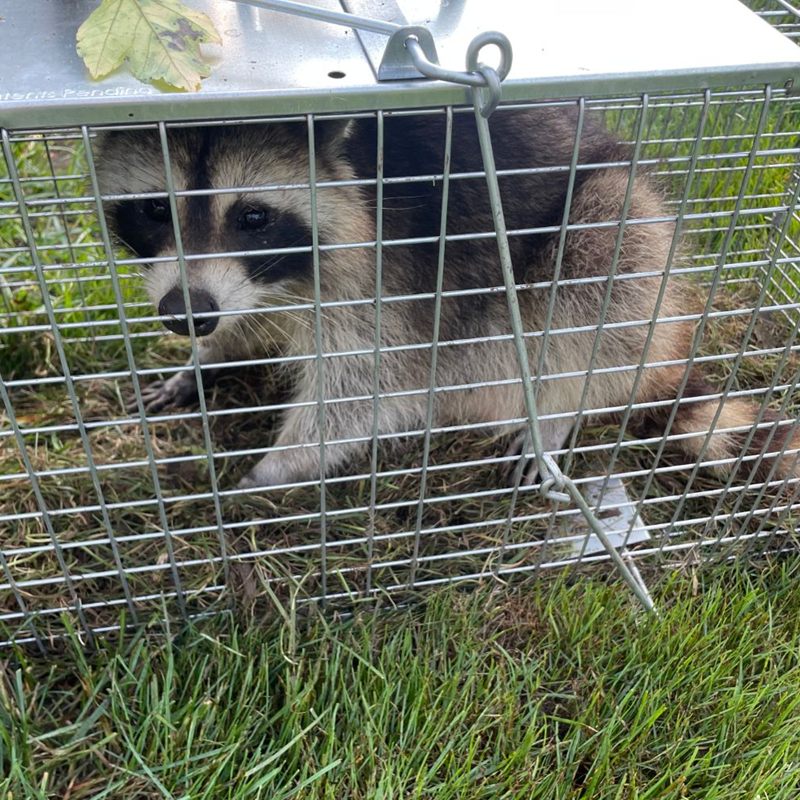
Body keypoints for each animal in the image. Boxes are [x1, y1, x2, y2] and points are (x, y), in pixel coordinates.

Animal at [95, 108, 800, 490]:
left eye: (252, 217)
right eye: (154, 210)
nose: (185, 315)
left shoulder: (391, 272)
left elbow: (368, 386)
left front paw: (268, 469)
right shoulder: (252, 283)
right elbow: (241, 317)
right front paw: (205, 358)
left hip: (621, 228)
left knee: (603, 275)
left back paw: (560, 406)